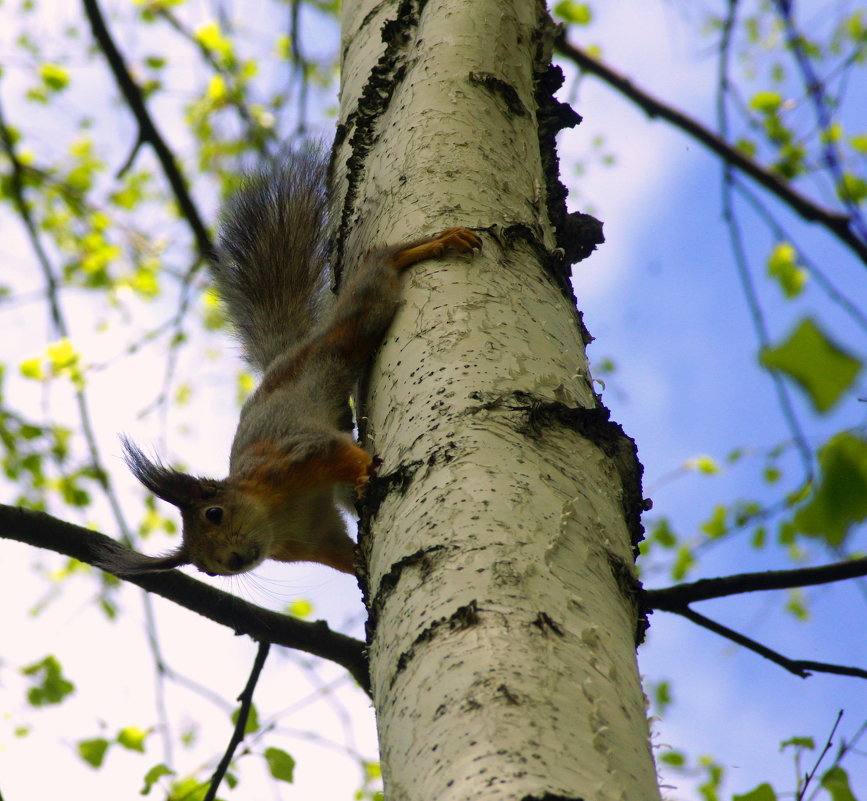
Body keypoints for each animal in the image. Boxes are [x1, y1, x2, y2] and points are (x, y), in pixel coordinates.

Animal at [102, 150, 484, 576]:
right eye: (205, 569)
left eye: (214, 513)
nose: (231, 560)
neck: (275, 513)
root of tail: (284, 357)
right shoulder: (313, 539)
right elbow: (343, 554)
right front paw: (359, 567)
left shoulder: (297, 454)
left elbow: (338, 453)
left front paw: (364, 473)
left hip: (345, 334)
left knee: (375, 275)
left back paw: (434, 245)